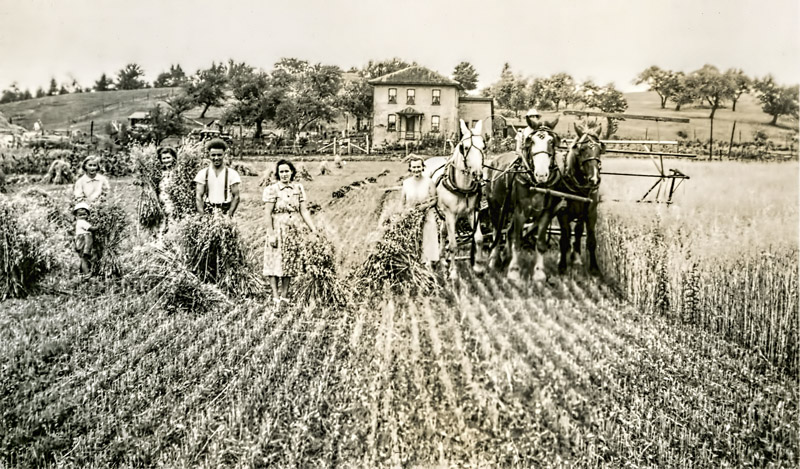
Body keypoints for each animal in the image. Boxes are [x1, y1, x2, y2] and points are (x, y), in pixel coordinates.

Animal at [424, 119, 488, 278]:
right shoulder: (450, 215)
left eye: (483, 146)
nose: (478, 174)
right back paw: (429, 262)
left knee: (442, 232)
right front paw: (453, 273)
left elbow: (478, 238)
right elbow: (453, 244)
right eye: (464, 147)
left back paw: (441, 259)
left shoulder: (473, 212)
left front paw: (478, 267)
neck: (462, 188)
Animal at [484, 119, 560, 282]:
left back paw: (506, 257)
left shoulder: (546, 213)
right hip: (495, 206)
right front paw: (514, 272)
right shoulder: (520, 212)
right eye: (531, 141)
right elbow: (517, 242)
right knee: (497, 231)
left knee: (508, 232)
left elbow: (540, 243)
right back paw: (494, 260)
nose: (542, 174)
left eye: (551, 141)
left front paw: (539, 273)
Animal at [556, 121, 608, 274]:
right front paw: (562, 265)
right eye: (582, 149)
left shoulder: (591, 213)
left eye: (599, 149)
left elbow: (591, 240)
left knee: (578, 230)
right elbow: (564, 238)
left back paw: (576, 255)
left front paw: (594, 268)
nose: (594, 179)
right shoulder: (562, 213)